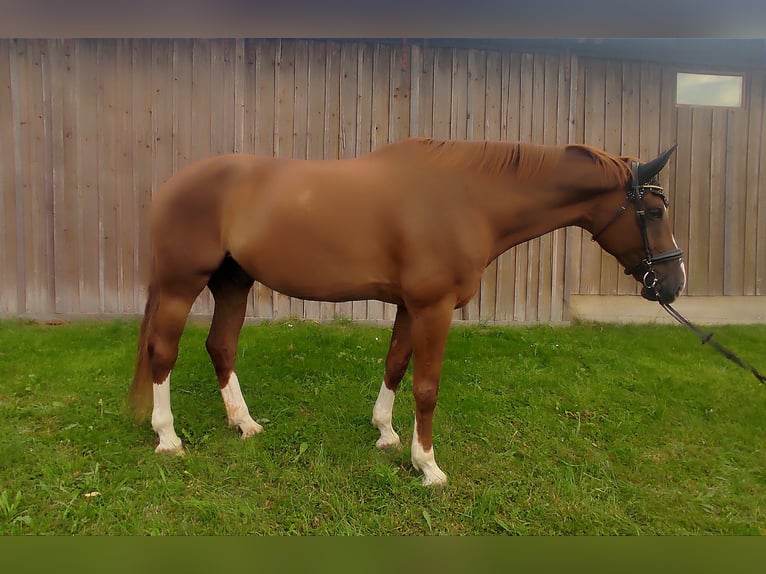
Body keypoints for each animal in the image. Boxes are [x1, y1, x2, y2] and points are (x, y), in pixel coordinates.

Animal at [129, 138, 688, 486]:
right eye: (654, 211)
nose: (674, 282)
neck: (468, 199)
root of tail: (173, 185)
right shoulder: (433, 308)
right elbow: (426, 387)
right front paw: (428, 466)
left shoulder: (407, 305)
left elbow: (396, 365)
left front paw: (386, 434)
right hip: (182, 284)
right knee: (163, 351)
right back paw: (168, 438)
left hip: (233, 282)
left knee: (220, 345)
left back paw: (243, 424)